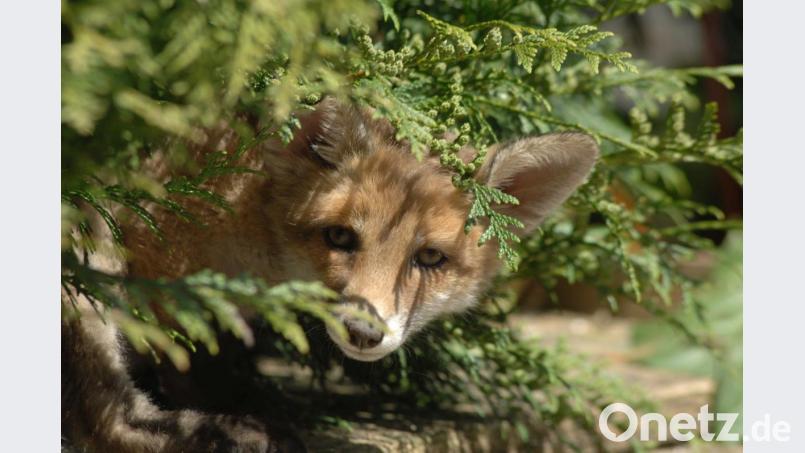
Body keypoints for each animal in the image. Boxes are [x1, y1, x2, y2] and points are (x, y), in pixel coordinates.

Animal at [62, 97, 598, 452]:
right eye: (340, 237)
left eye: (429, 258)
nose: (363, 332)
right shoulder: (156, 265)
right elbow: (188, 354)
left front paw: (247, 395)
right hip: (88, 275)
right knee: (105, 424)